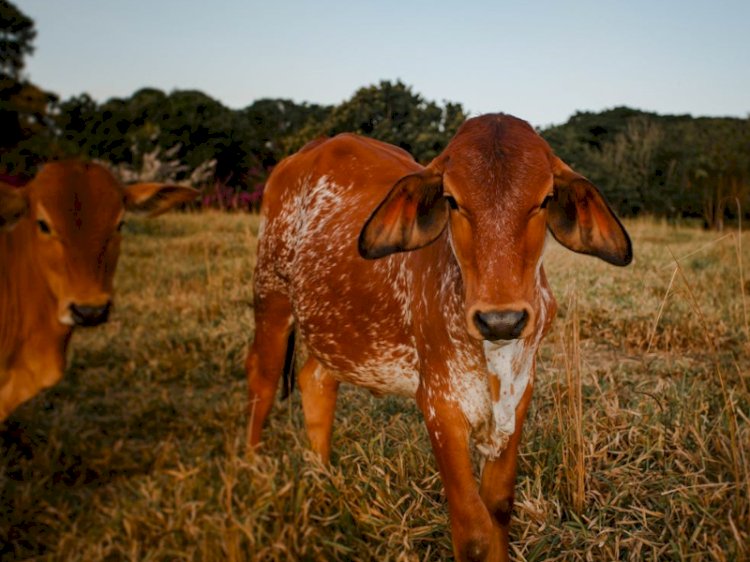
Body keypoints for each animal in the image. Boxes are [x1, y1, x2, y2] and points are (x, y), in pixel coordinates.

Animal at [248, 112, 636, 556]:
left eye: (544, 199)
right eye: (452, 200)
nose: (501, 320)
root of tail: (310, 150)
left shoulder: (520, 395)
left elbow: (499, 508)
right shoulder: (439, 405)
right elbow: (473, 531)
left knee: (315, 379)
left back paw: (323, 479)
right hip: (271, 296)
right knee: (261, 379)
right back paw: (249, 471)